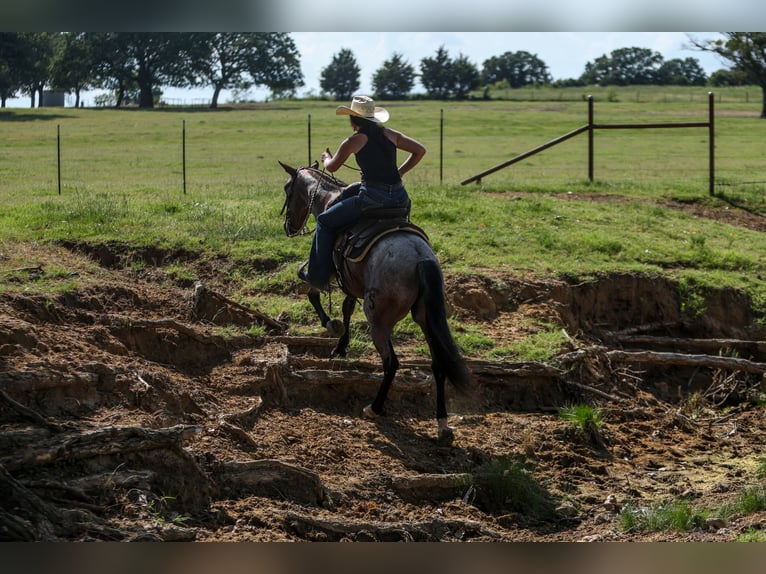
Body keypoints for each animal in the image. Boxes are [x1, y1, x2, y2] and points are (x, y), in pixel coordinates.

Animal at [280, 162, 476, 446]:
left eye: (288, 190)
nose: (288, 226)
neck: (328, 198)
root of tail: (420, 258)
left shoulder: (326, 270)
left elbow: (313, 291)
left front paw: (330, 325)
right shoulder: (350, 281)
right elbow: (347, 307)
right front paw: (341, 345)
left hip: (378, 320)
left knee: (391, 363)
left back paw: (374, 408)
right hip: (426, 318)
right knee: (438, 365)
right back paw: (442, 423)